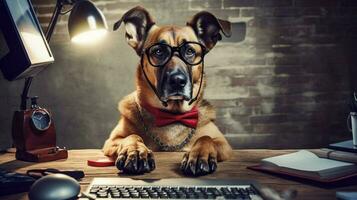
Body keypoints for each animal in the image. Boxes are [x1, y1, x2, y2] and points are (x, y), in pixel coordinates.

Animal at [101, 5, 232, 176]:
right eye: (158, 51)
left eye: (190, 51)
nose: (177, 81)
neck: (171, 116)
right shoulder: (112, 141)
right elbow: (132, 136)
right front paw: (135, 152)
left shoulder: (223, 144)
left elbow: (205, 138)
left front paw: (198, 155)